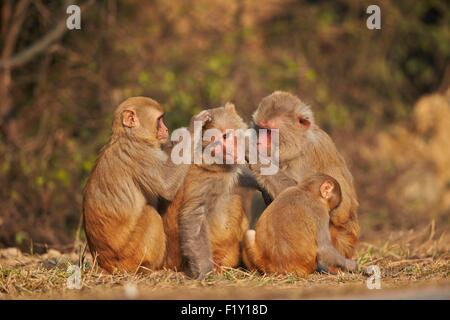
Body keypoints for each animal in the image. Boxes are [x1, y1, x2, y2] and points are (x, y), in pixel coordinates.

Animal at [82, 95, 209, 272]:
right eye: (159, 120)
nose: (166, 130)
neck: (129, 136)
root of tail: (104, 264)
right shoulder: (141, 154)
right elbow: (167, 184)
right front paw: (194, 126)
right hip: (129, 256)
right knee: (150, 214)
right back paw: (149, 267)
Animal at [163, 102, 248, 278]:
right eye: (214, 143)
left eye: (225, 136)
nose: (229, 151)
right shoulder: (208, 181)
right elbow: (193, 215)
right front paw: (204, 272)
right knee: (235, 201)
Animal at [250, 90, 358, 272]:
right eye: (260, 129)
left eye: (269, 132)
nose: (258, 141)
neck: (297, 147)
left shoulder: (314, 151)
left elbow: (340, 209)